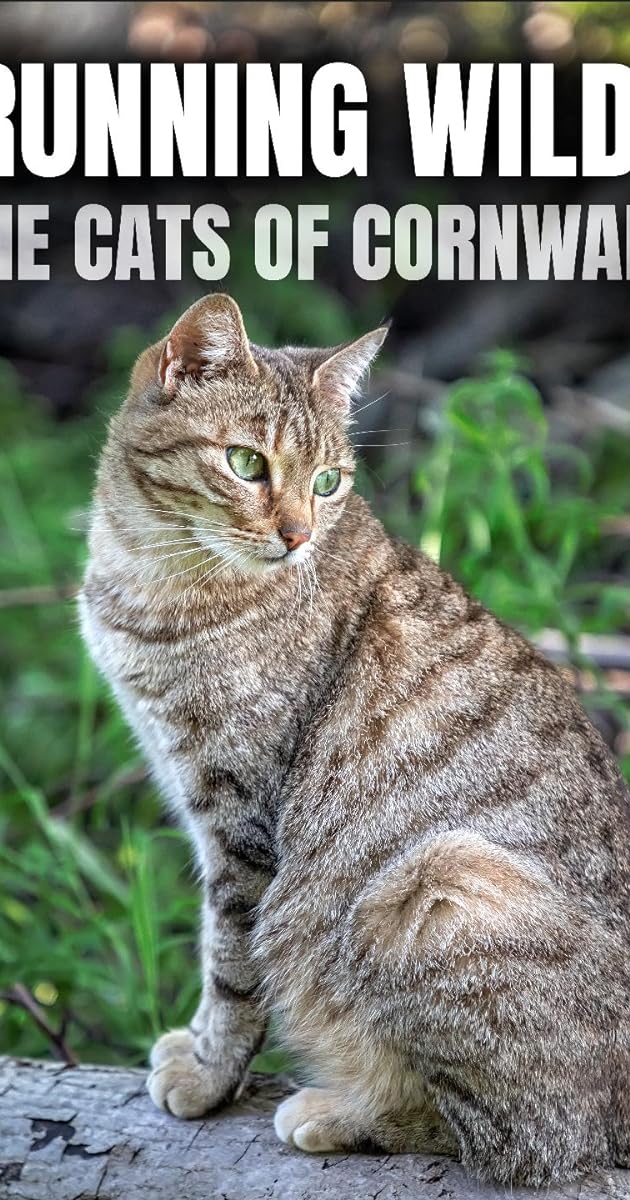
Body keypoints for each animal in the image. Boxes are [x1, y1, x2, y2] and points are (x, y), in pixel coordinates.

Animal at [78, 295, 628, 1185]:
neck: (148, 573)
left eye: (327, 482)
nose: (299, 535)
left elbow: (231, 966)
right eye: (247, 463)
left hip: (437, 884)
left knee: (521, 1139)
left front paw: (208, 1072)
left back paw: (342, 1111)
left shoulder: (241, 823)